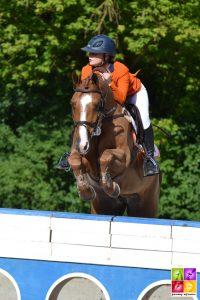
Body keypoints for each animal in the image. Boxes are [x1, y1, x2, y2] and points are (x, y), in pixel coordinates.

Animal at [68, 72, 160, 218]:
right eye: (72, 104)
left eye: (96, 105)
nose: (82, 145)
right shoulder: (87, 162)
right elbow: (74, 160)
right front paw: (85, 191)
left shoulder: (124, 158)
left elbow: (105, 157)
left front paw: (112, 188)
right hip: (104, 205)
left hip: (146, 204)